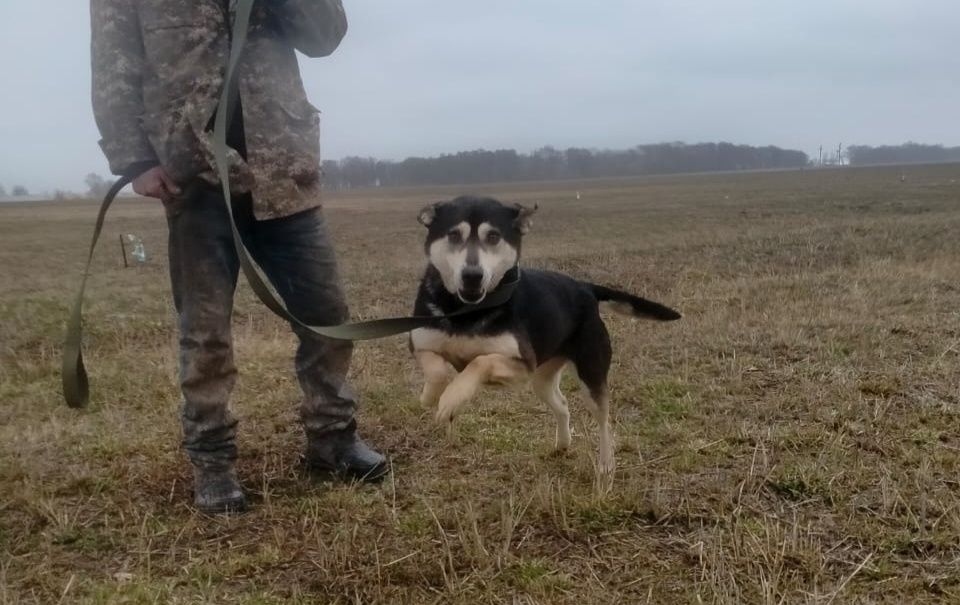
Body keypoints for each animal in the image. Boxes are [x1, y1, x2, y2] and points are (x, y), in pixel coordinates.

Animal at [408, 196, 680, 474]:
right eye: (453, 235)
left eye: (493, 236)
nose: (472, 276)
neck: (466, 311)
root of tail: (585, 287)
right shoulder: (419, 343)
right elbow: (438, 370)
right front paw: (431, 397)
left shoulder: (522, 365)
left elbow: (480, 361)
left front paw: (452, 397)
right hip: (542, 378)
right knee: (563, 404)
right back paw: (562, 445)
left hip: (589, 372)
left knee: (604, 420)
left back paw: (605, 464)